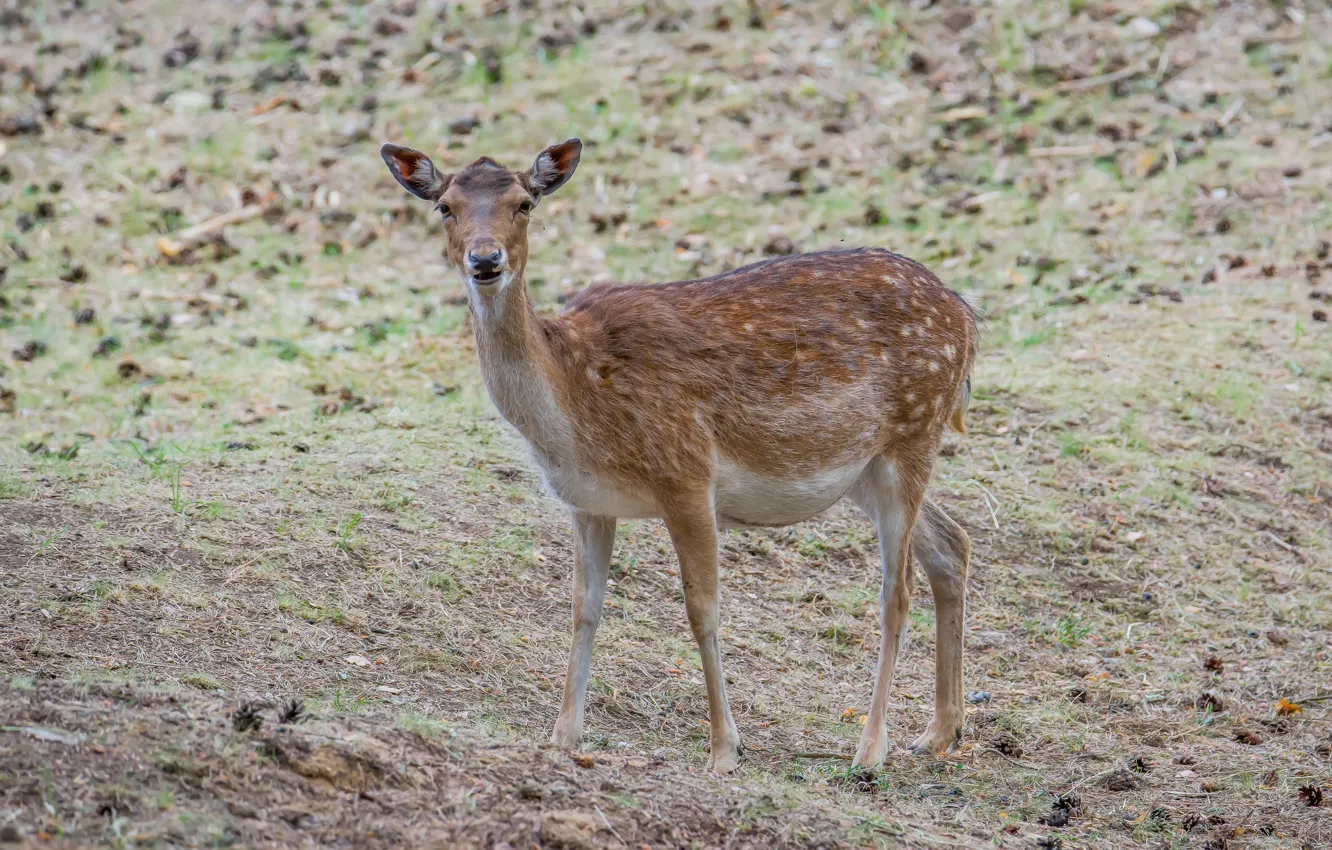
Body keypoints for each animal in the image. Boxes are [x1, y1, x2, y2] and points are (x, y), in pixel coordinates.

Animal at [380, 137, 978, 774]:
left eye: (524, 204)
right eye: (445, 207)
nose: (486, 259)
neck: (573, 408)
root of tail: (967, 318)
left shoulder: (686, 472)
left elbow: (702, 609)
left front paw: (724, 750)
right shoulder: (587, 501)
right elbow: (583, 605)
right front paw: (563, 735)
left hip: (914, 432)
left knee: (897, 592)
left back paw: (870, 749)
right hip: (867, 468)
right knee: (952, 543)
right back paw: (940, 732)